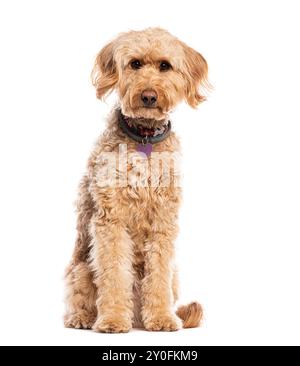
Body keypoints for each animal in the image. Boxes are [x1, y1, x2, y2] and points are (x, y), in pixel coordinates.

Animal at [63, 27, 209, 334]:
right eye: (135, 64)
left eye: (165, 65)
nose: (149, 96)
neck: (144, 138)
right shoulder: (111, 220)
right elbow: (114, 273)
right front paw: (112, 320)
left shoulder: (164, 221)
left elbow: (158, 275)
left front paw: (163, 318)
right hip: (80, 268)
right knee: (82, 296)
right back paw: (83, 318)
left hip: (175, 274)